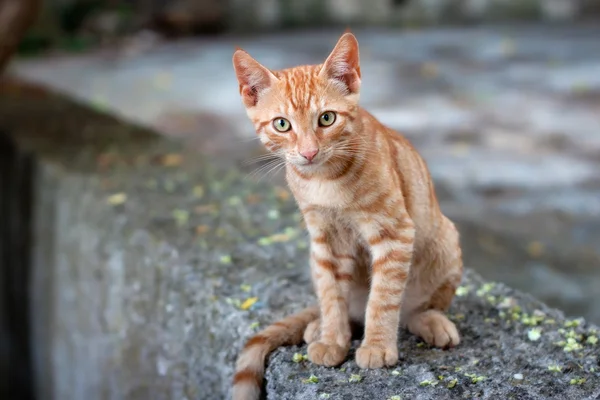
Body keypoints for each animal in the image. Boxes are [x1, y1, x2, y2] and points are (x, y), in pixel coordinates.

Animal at [232, 32, 462, 400]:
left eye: (327, 118)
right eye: (282, 125)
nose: (308, 152)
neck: (324, 180)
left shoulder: (395, 233)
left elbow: (383, 298)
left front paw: (378, 346)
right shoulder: (325, 241)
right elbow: (330, 294)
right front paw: (332, 340)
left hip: (445, 243)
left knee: (413, 310)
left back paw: (431, 321)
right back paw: (318, 327)